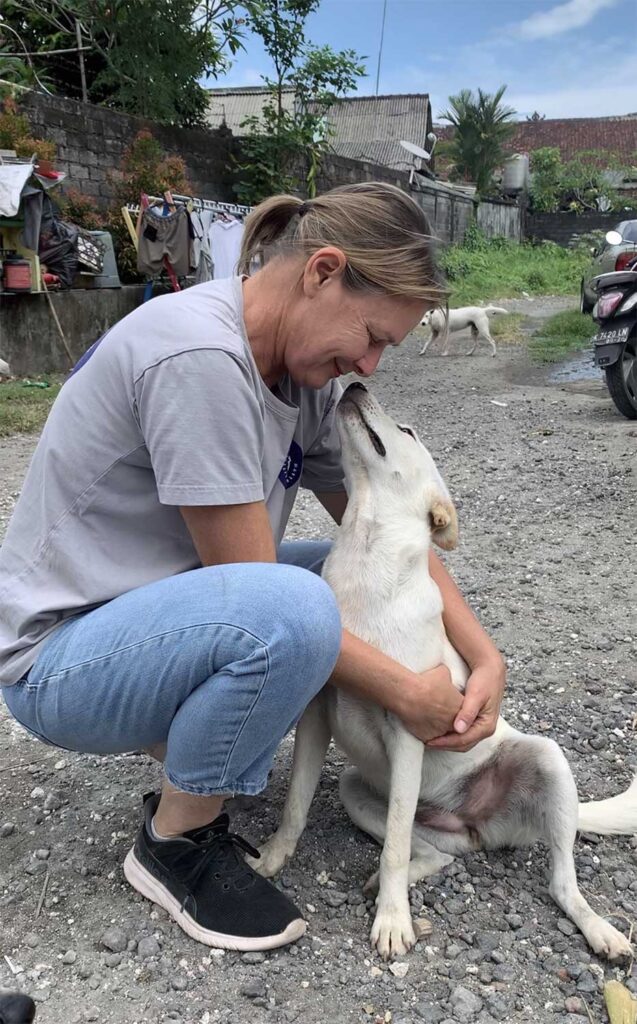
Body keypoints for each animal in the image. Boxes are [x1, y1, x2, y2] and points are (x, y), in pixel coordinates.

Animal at [255, 382, 637, 958]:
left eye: (408, 431)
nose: (356, 385)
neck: (365, 566)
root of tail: (475, 824)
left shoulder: (409, 730)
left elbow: (392, 850)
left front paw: (393, 921)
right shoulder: (316, 719)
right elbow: (296, 807)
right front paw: (273, 860)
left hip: (546, 761)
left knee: (561, 882)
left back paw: (600, 930)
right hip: (359, 790)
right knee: (437, 855)